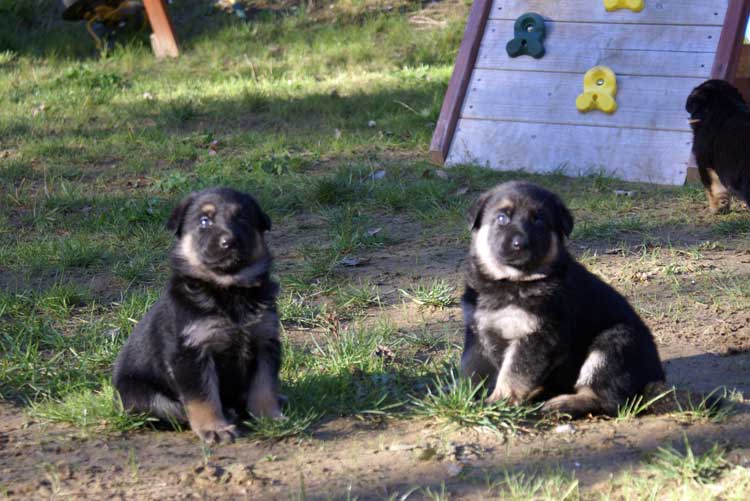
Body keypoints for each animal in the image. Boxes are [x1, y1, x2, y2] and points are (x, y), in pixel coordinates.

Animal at [113, 187, 284, 442]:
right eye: (204, 221)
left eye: (242, 218)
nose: (229, 241)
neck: (227, 289)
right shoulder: (191, 352)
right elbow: (203, 397)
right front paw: (215, 428)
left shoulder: (265, 341)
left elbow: (264, 386)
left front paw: (269, 417)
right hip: (138, 394)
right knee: (173, 410)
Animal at [462, 182, 668, 416]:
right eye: (502, 218)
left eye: (539, 220)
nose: (519, 243)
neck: (511, 281)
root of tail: (656, 377)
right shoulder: (476, 331)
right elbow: (469, 367)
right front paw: (459, 394)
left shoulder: (536, 336)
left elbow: (513, 372)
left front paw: (498, 401)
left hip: (613, 344)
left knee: (607, 399)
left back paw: (561, 404)